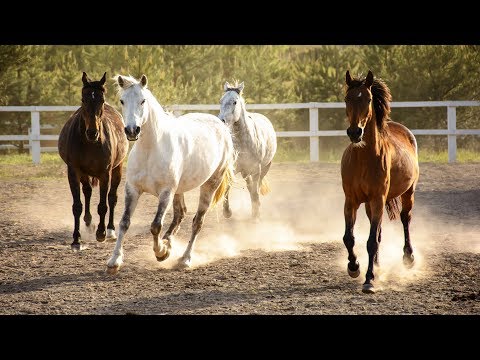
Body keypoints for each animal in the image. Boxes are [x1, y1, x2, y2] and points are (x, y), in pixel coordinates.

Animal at [58, 70, 128, 250]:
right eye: (84, 99)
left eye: (101, 100)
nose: (92, 133)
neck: (90, 143)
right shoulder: (73, 171)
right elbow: (77, 205)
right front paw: (76, 239)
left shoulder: (105, 173)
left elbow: (103, 205)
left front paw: (101, 233)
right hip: (84, 174)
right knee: (87, 192)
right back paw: (89, 223)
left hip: (117, 169)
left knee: (112, 197)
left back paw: (110, 230)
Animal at [106, 75, 234, 272]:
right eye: (122, 101)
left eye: (143, 100)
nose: (132, 130)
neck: (151, 149)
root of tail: (221, 125)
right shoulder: (132, 189)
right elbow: (124, 222)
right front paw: (115, 261)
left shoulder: (166, 192)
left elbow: (155, 226)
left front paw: (160, 252)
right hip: (179, 190)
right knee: (180, 214)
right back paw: (169, 243)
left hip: (210, 184)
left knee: (197, 222)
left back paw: (185, 259)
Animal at [342, 69, 420, 292]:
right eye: (347, 99)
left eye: (368, 99)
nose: (355, 132)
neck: (364, 159)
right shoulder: (351, 200)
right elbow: (349, 238)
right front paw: (354, 267)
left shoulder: (378, 198)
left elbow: (371, 242)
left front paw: (369, 280)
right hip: (370, 203)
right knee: (377, 230)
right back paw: (376, 264)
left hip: (408, 193)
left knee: (405, 219)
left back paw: (408, 257)